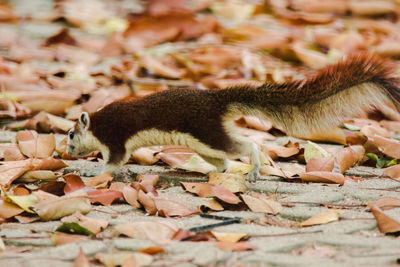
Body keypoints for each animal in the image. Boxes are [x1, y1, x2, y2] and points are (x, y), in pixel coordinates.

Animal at [65, 55, 400, 183]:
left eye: (69, 135)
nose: (65, 153)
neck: (98, 123)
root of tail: (216, 100)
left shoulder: (115, 137)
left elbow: (114, 161)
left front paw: (92, 174)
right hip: (203, 142)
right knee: (224, 160)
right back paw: (211, 172)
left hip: (206, 133)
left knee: (246, 145)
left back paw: (253, 169)